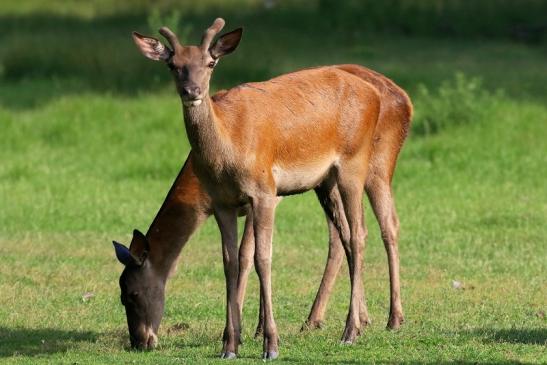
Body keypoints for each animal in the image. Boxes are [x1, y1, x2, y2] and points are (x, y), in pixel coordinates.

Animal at [119, 17, 412, 358]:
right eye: (173, 64)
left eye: (132, 293)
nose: (140, 341)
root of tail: (399, 97)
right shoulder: (225, 203)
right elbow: (231, 262)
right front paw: (231, 342)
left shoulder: (264, 192)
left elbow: (259, 258)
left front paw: (268, 341)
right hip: (326, 181)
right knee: (343, 235)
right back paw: (337, 320)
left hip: (362, 163)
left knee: (370, 230)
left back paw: (368, 325)